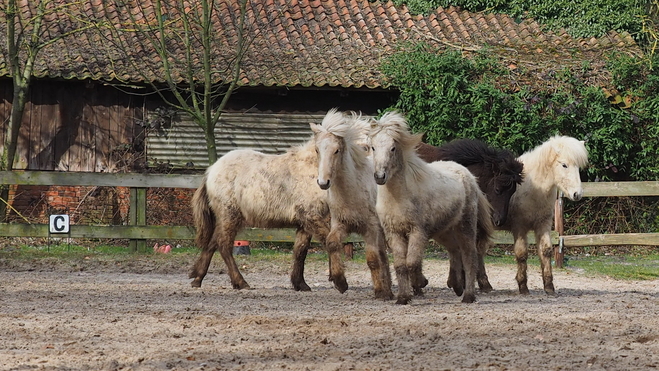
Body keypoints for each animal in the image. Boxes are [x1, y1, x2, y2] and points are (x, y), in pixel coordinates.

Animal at [312, 108, 394, 300]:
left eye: (336, 150)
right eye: (317, 149)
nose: (323, 182)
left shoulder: (371, 228)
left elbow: (372, 260)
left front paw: (380, 291)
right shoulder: (340, 223)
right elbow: (332, 243)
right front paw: (340, 282)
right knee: (384, 256)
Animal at [368, 111, 492, 306]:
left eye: (393, 148)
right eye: (372, 147)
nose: (380, 176)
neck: (398, 197)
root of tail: (469, 176)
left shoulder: (418, 231)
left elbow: (412, 262)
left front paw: (420, 283)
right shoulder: (394, 232)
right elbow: (400, 265)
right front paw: (403, 298)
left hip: (465, 225)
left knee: (469, 256)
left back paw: (468, 296)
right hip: (443, 230)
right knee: (454, 250)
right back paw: (456, 285)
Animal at [476, 135, 592, 294]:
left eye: (578, 167)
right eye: (564, 165)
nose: (577, 194)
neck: (535, 189)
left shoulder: (543, 224)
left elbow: (546, 251)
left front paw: (549, 287)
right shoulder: (519, 227)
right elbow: (521, 254)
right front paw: (523, 286)